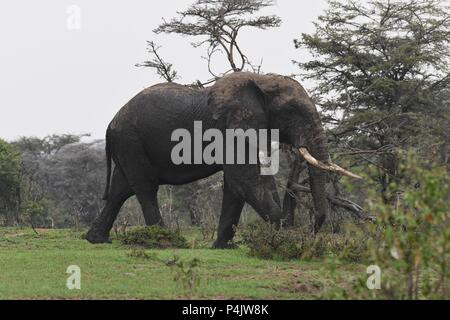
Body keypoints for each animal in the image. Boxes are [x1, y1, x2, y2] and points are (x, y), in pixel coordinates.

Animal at [85, 72, 358, 248]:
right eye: (293, 112)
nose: (311, 232)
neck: (261, 82)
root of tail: (110, 124)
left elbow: (240, 183)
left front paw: (224, 246)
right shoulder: (229, 129)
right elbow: (243, 180)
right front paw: (284, 235)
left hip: (129, 144)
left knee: (121, 189)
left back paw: (97, 239)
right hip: (131, 139)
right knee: (145, 187)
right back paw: (165, 243)